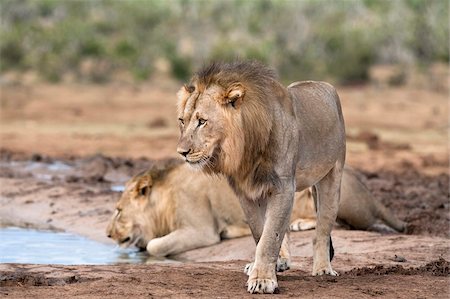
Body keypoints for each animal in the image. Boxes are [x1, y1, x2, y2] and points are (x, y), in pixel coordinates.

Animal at [107, 162, 406, 258]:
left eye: (119, 210)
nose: (108, 234)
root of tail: (372, 196)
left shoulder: (201, 230)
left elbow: (155, 245)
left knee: (342, 224)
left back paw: (298, 224)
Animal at [178, 61, 346, 296]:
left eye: (202, 121)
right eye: (181, 121)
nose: (181, 152)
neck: (244, 149)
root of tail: (322, 84)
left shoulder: (283, 186)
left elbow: (269, 237)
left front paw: (263, 280)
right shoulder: (245, 191)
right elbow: (262, 232)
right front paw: (265, 269)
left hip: (332, 175)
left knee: (322, 228)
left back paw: (323, 269)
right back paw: (280, 262)